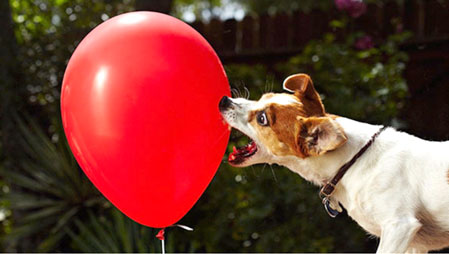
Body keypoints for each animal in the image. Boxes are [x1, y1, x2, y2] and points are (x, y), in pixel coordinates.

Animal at [219, 73, 448, 252]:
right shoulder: (415, 244)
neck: (355, 161)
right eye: (262, 98)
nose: (224, 100)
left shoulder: (399, 226)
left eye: (262, 119)